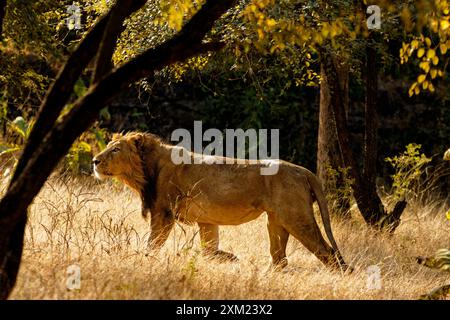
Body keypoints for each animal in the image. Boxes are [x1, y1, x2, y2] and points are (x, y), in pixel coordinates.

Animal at [93, 132, 350, 270]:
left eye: (115, 150)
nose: (94, 161)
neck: (146, 170)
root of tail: (304, 171)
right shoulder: (206, 220)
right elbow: (208, 248)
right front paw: (227, 257)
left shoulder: (163, 214)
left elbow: (152, 245)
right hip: (276, 221)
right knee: (280, 259)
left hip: (297, 218)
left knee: (328, 253)